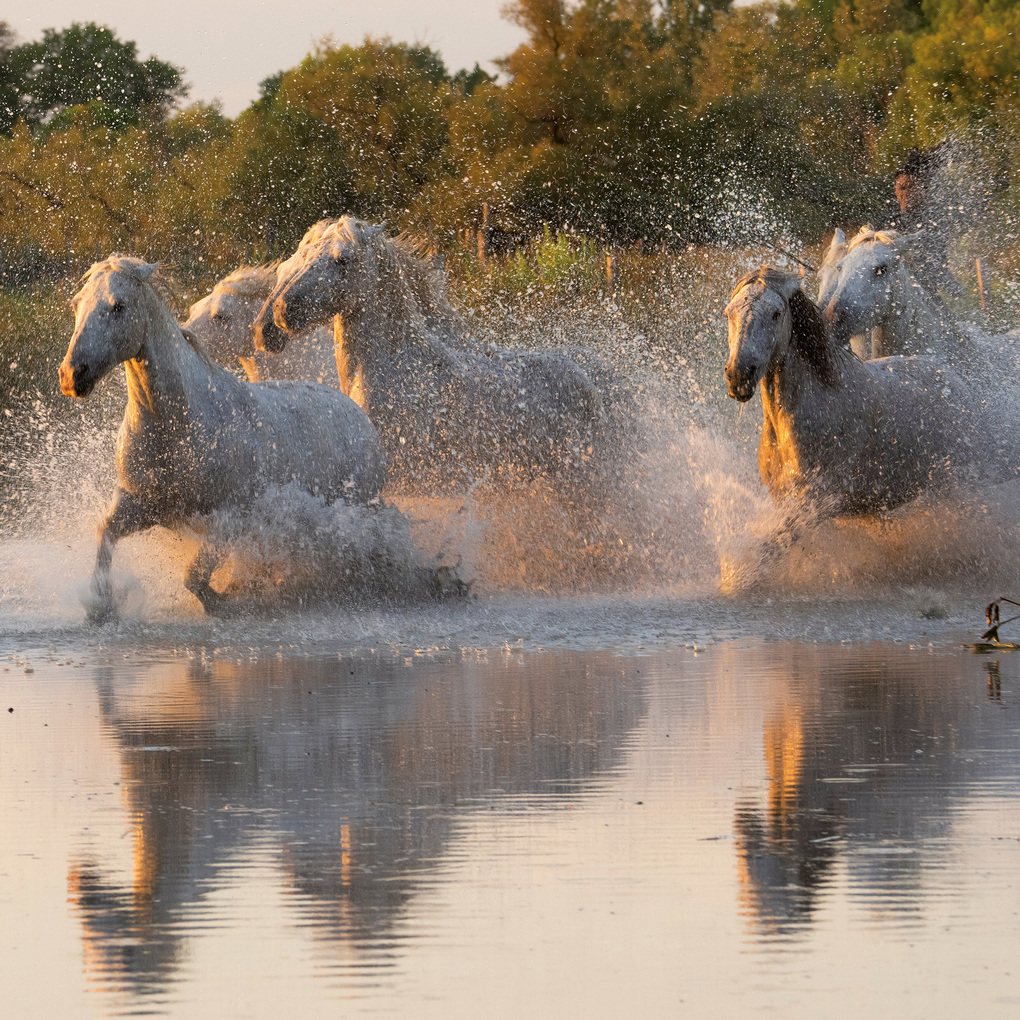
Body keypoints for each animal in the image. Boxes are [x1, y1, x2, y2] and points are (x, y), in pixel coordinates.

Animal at [59, 255, 387, 623]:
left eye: (118, 306)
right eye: (76, 304)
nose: (72, 375)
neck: (178, 428)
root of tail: (358, 414)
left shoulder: (229, 521)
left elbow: (194, 577)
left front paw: (227, 602)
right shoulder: (139, 505)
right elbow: (105, 535)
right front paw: (101, 607)